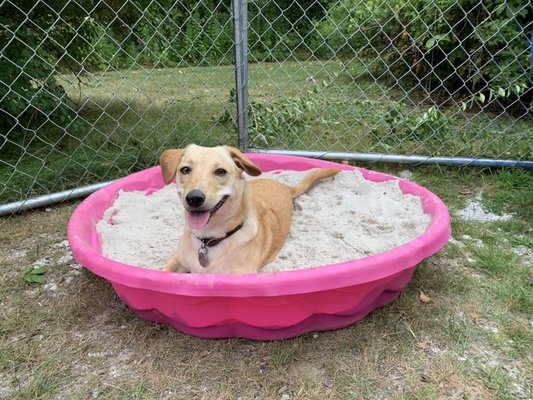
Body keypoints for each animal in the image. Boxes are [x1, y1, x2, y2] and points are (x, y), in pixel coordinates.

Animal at [160, 145, 338, 276]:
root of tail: (287, 188)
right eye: (185, 169)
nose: (194, 198)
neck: (208, 240)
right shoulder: (178, 260)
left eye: (220, 171)